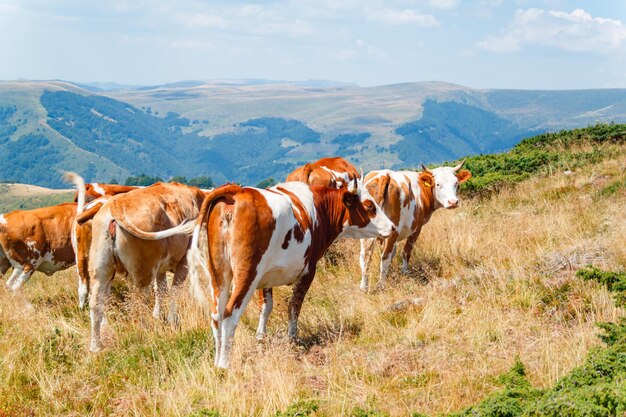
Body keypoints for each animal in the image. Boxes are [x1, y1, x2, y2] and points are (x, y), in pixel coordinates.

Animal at [84, 181, 206, 352]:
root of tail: (116, 205)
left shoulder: (161, 268)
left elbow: (162, 290)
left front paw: (158, 317)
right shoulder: (184, 262)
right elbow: (174, 291)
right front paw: (173, 321)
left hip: (100, 269)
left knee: (97, 303)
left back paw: (96, 346)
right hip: (143, 272)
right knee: (139, 303)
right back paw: (146, 333)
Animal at [358, 161, 470, 290]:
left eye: (456, 183)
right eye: (438, 184)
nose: (453, 202)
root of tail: (384, 175)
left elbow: (393, 252)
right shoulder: (417, 228)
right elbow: (406, 251)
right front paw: (404, 273)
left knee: (365, 255)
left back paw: (363, 286)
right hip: (393, 230)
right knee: (385, 256)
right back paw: (381, 285)